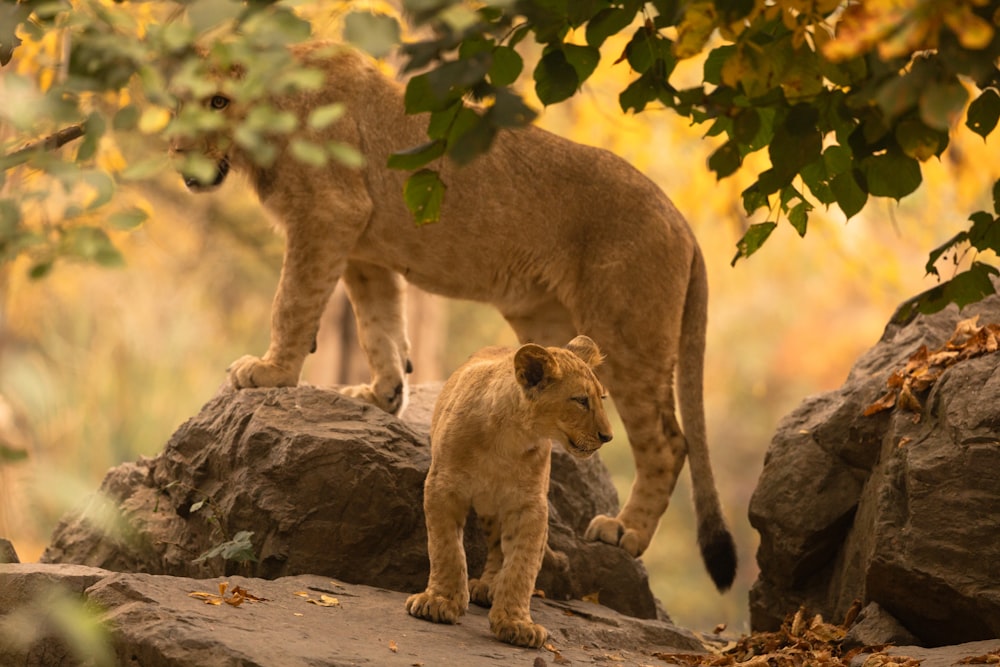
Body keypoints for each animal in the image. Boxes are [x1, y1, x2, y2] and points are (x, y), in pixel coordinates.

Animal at [404, 336, 608, 648]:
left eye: (601, 398)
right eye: (581, 400)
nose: (607, 436)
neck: (511, 437)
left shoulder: (530, 505)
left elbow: (522, 565)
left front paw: (516, 623)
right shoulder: (442, 486)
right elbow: (446, 547)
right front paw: (439, 601)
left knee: (501, 548)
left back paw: (489, 587)